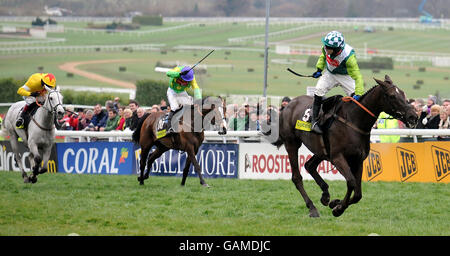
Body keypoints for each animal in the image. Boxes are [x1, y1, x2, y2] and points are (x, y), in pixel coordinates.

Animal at [274, 75, 418, 217]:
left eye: (403, 94)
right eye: (392, 96)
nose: (413, 116)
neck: (354, 121)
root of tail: (289, 105)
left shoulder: (358, 160)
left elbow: (358, 194)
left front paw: (335, 203)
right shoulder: (338, 158)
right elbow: (351, 182)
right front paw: (338, 209)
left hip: (322, 151)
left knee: (310, 165)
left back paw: (325, 195)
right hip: (292, 143)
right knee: (297, 177)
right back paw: (312, 208)